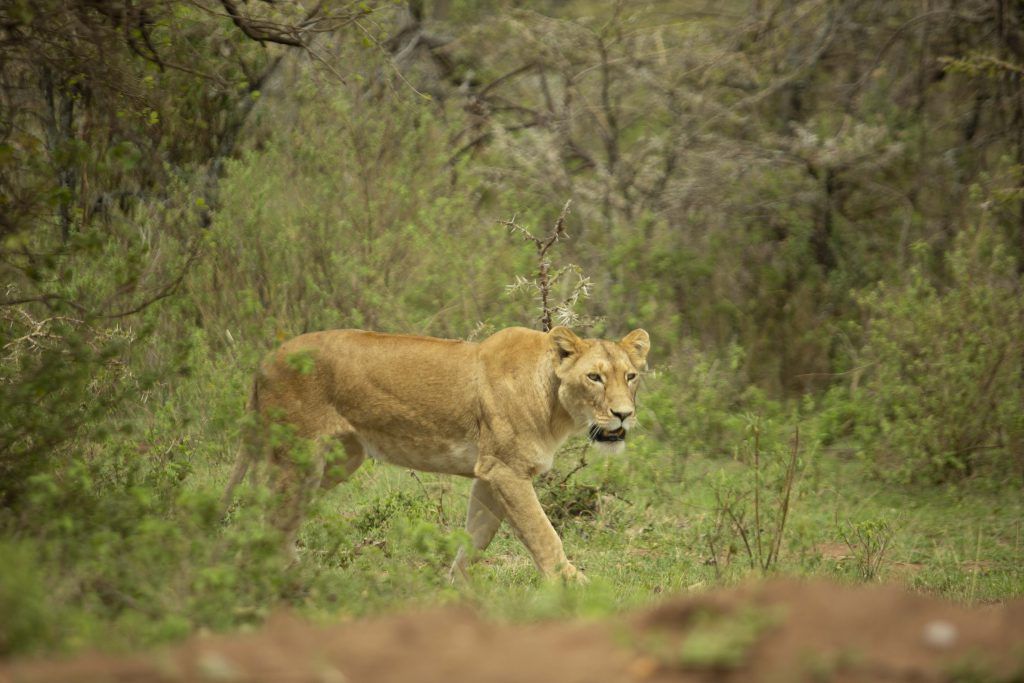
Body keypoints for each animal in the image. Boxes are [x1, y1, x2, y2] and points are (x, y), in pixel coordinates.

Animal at [222, 325, 650, 582]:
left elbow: (476, 538)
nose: (624, 414)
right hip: (298, 455)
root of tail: (266, 359)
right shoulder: (506, 470)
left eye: (630, 376)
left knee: (281, 520)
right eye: (594, 377)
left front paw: (455, 591)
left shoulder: (489, 475)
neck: (556, 407)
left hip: (339, 458)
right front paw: (574, 586)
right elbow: (543, 534)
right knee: (266, 518)